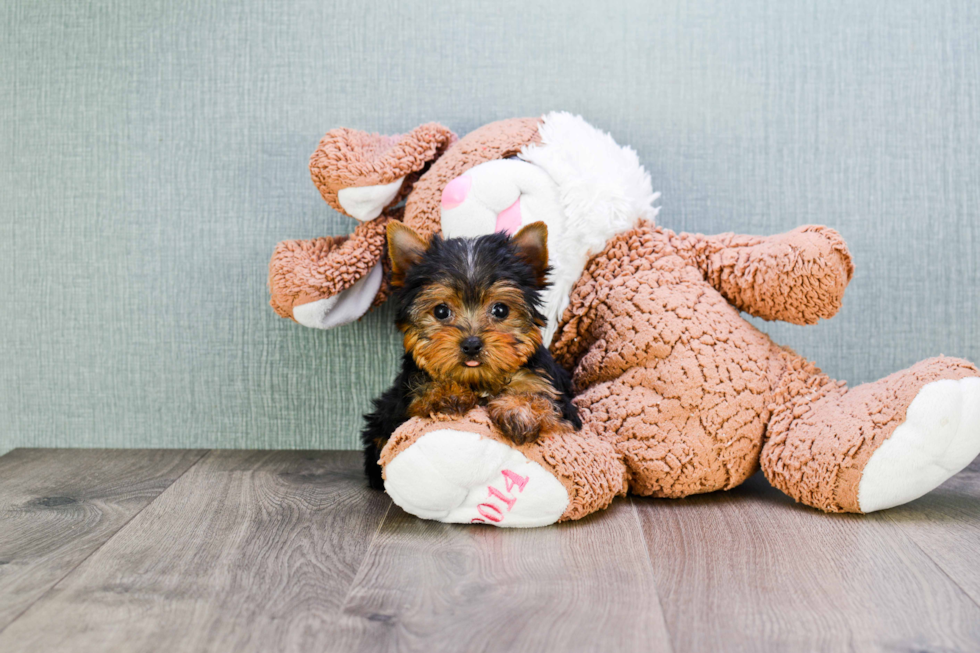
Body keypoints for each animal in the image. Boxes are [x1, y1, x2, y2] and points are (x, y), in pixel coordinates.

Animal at [362, 222, 580, 486]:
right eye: (441, 311)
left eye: (500, 309)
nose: (472, 344)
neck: (479, 380)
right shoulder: (399, 405)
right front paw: (446, 392)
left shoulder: (553, 392)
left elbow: (543, 399)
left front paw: (520, 410)